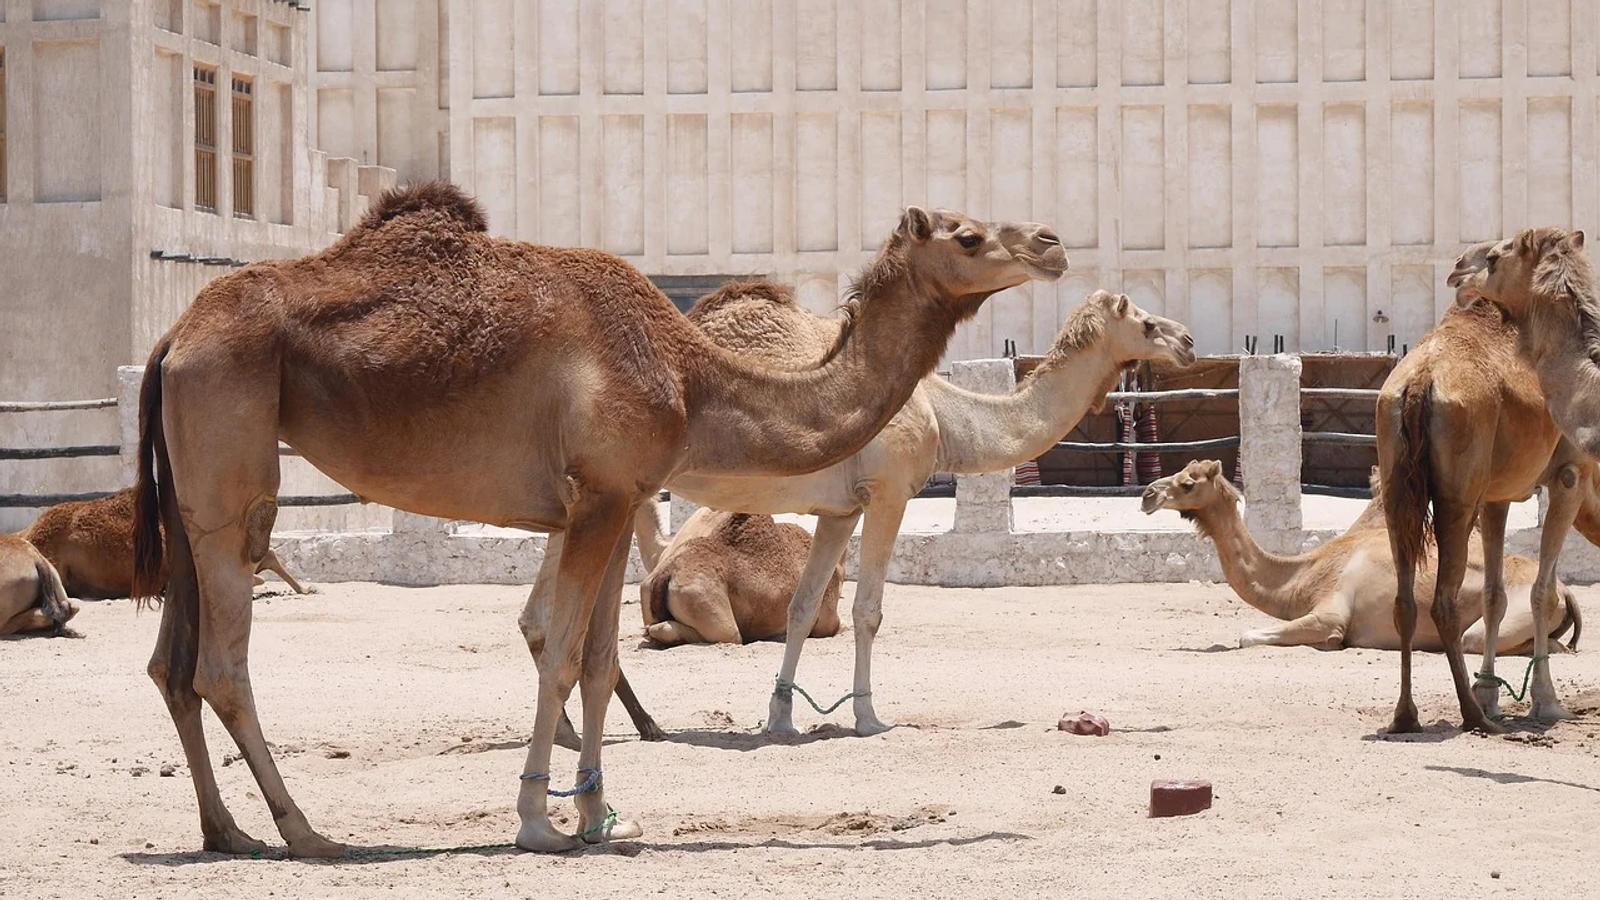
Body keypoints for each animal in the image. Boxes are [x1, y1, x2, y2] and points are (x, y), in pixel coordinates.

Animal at [1140, 460, 1581, 653]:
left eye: (1188, 482)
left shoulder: (1331, 613)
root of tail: (1564, 591)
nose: (1147, 493)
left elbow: (1247, 635)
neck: (1304, 575)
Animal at [1377, 240, 1595, 734]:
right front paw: (1546, 704)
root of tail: (1420, 382)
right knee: (1444, 600)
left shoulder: (1496, 496)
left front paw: (1492, 694)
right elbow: (1541, 590)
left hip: (1397, 488)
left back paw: (1406, 715)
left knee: (1404, 599)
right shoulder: (1569, 476)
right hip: (1457, 498)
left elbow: (1497, 595)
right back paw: (1472, 716)